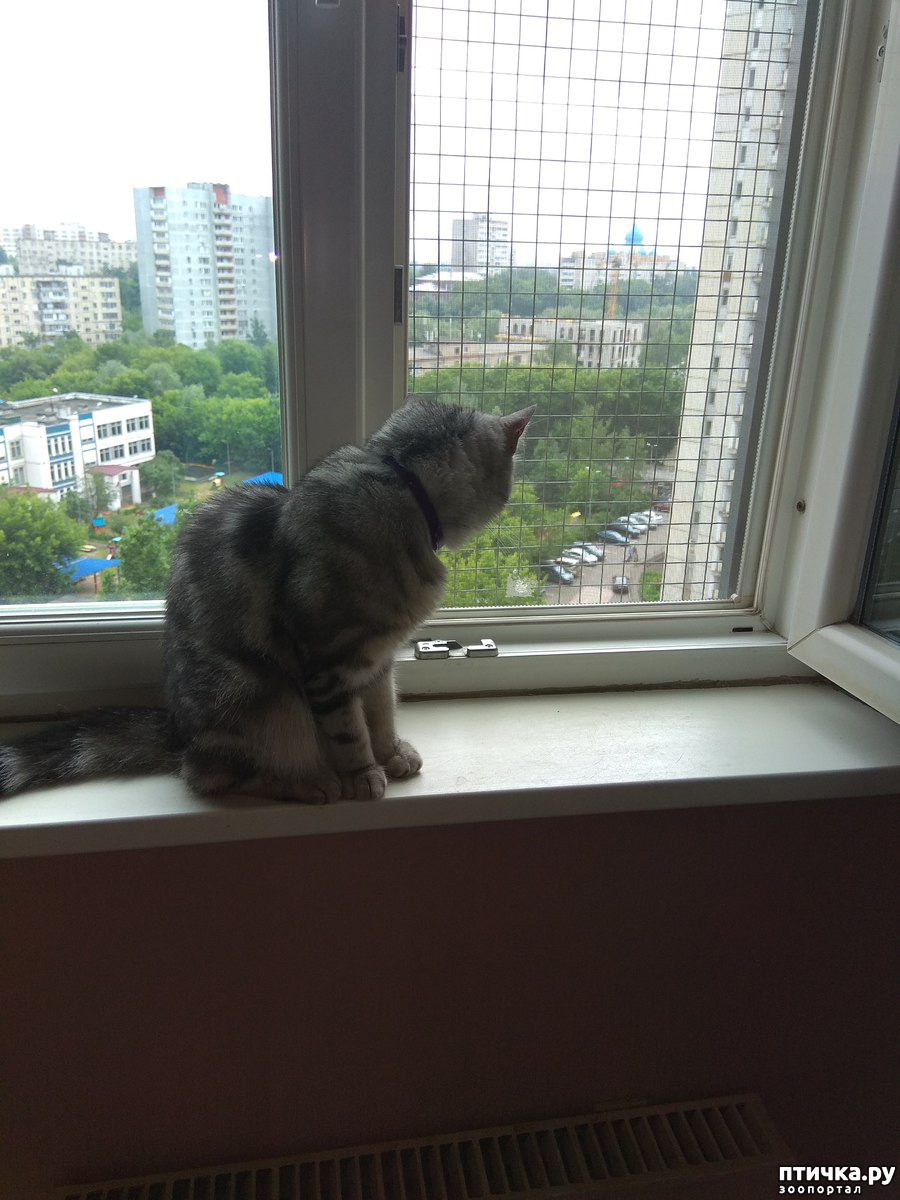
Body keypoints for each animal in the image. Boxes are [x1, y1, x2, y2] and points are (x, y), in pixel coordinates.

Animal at [0, 398, 535, 803]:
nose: (511, 496)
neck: (399, 483)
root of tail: (178, 735)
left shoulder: (378, 661)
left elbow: (382, 713)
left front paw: (391, 752)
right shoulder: (329, 663)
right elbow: (350, 729)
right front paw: (363, 773)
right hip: (264, 696)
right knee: (215, 777)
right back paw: (308, 782)